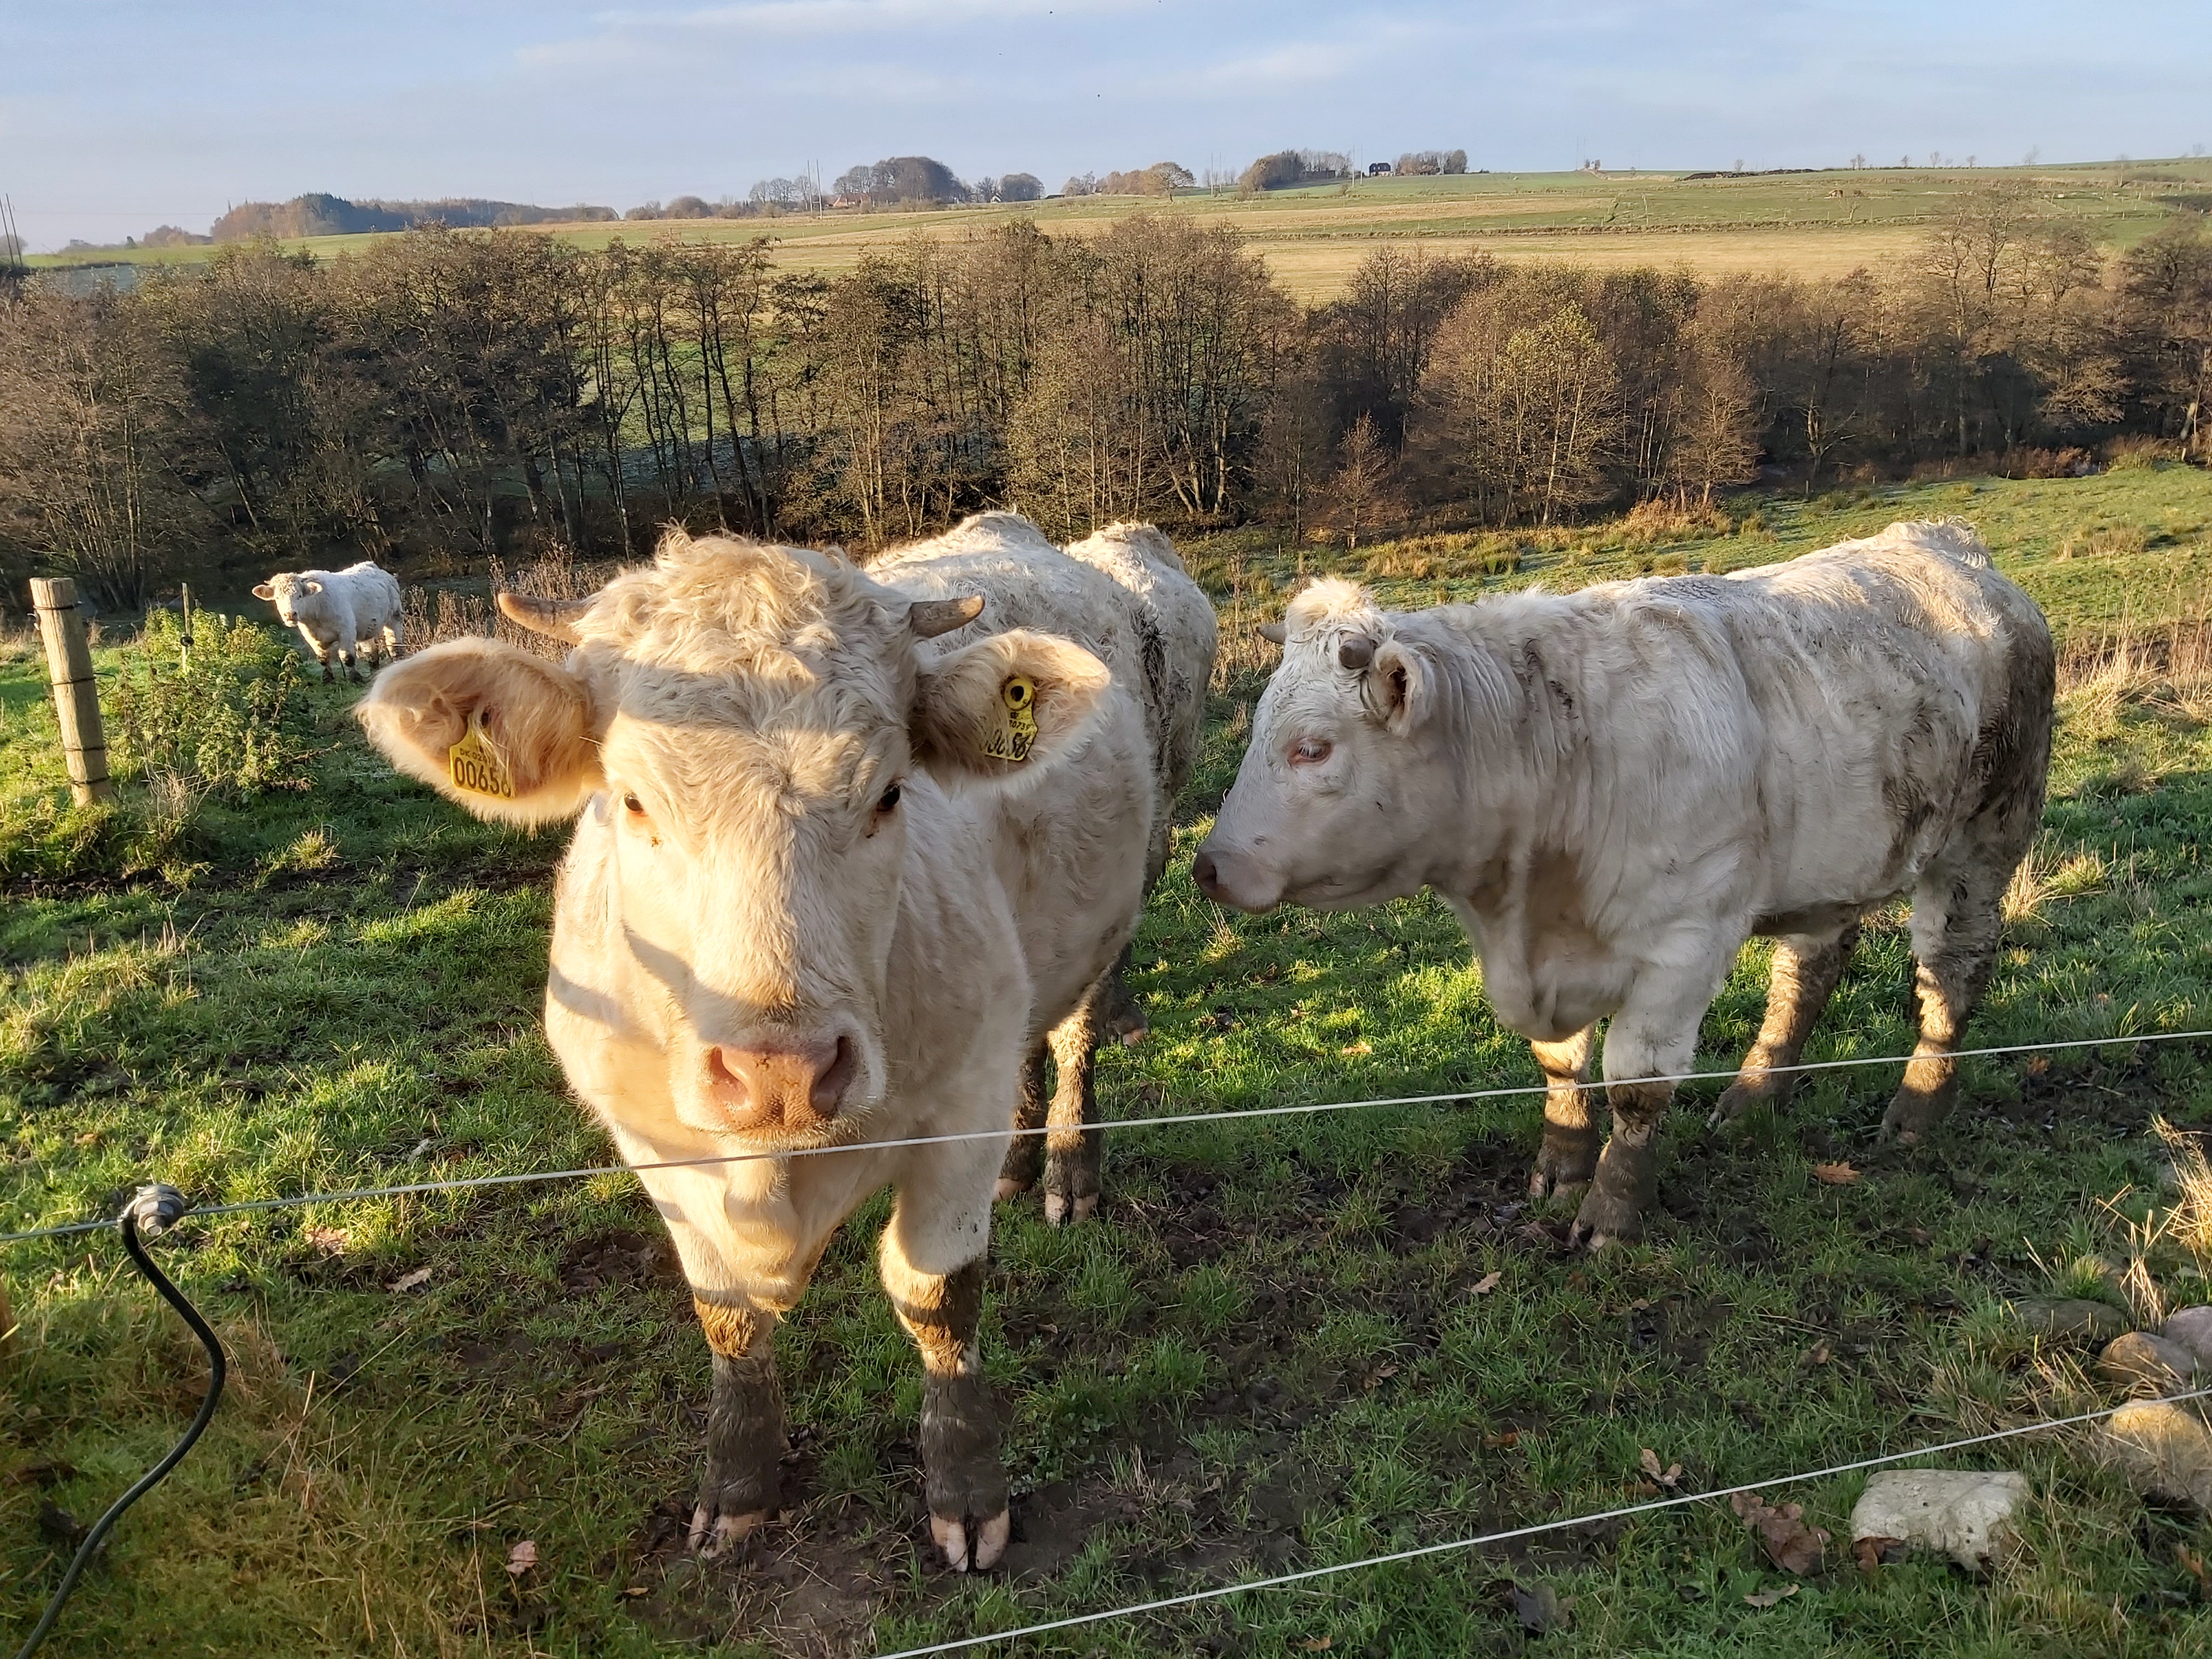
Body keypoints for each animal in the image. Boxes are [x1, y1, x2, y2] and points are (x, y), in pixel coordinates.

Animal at [252, 561, 404, 681]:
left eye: (300, 596)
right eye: (277, 598)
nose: (290, 615)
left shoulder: (346, 631)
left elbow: (347, 657)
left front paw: (355, 678)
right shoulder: (313, 638)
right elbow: (323, 659)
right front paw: (328, 679)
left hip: (395, 615)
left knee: (394, 643)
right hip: (366, 626)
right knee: (370, 649)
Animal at [1194, 521, 2053, 1248]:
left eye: (1312, 748)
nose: (1209, 866)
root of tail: (1949, 543)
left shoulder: (1685, 946)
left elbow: (1636, 1085)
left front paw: (1612, 1211)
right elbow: (1560, 1066)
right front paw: (1561, 1167)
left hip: (1983, 844)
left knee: (1951, 973)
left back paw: (1917, 1107)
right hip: (1836, 865)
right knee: (1807, 973)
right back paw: (1753, 1096)